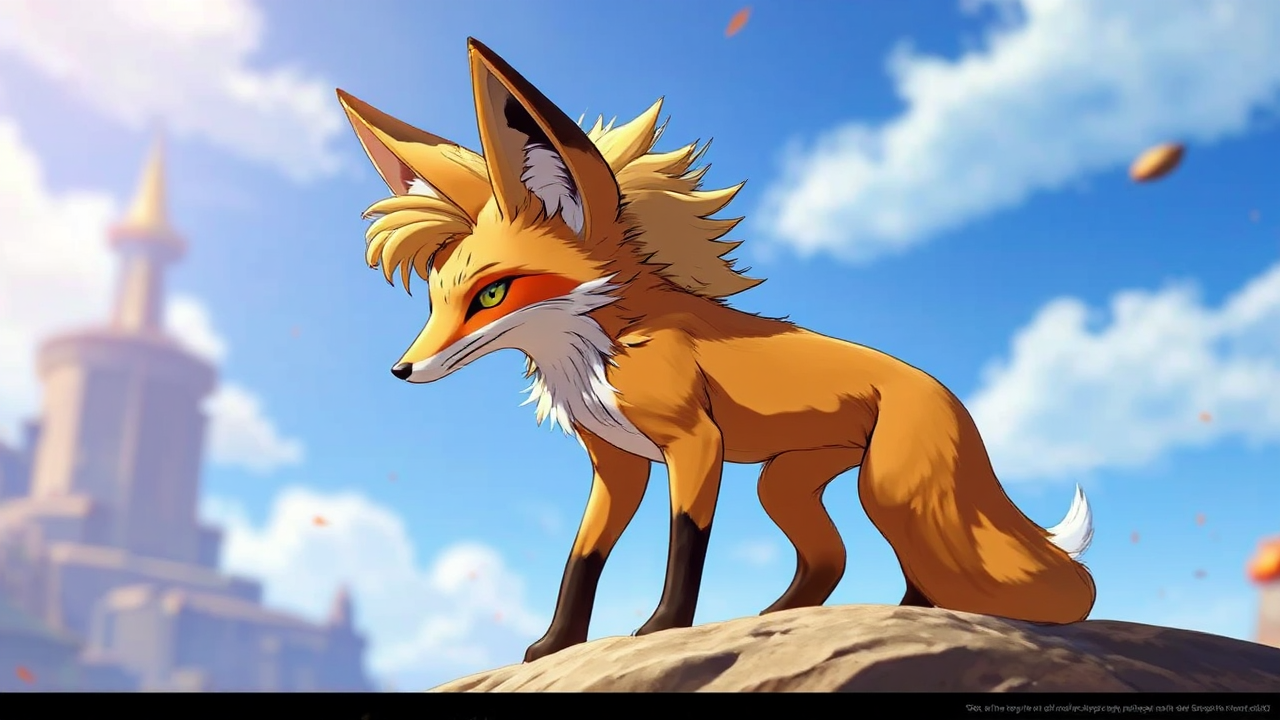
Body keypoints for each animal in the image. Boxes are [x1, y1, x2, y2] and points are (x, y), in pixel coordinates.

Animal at [337, 38, 1097, 664]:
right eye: (435, 300)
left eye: (491, 295)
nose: (402, 370)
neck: (599, 348)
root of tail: (947, 394)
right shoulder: (617, 466)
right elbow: (582, 560)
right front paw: (554, 645)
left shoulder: (694, 444)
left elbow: (686, 544)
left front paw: (662, 629)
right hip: (786, 484)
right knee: (832, 559)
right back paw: (793, 618)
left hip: (890, 491)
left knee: (933, 563)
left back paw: (908, 616)